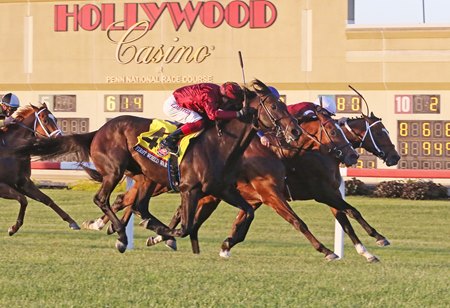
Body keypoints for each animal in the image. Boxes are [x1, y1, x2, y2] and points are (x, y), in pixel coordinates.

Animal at [0, 103, 80, 236]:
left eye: (56, 119)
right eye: (45, 120)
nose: (60, 140)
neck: (11, 150)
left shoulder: (23, 183)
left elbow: (46, 199)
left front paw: (72, 222)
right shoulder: (2, 186)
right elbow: (23, 199)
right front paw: (13, 228)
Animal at [17, 79, 300, 253]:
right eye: (274, 106)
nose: (295, 131)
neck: (219, 144)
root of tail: (98, 131)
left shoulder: (222, 189)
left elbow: (248, 212)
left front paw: (228, 241)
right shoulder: (189, 189)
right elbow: (186, 227)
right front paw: (164, 235)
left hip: (146, 177)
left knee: (138, 205)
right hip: (115, 171)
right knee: (103, 199)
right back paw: (122, 234)